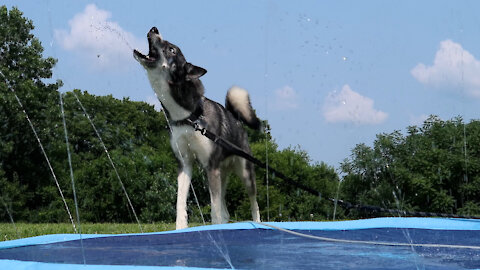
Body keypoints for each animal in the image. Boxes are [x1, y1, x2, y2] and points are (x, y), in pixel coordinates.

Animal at [135, 27, 260, 229]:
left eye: (172, 49)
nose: (154, 29)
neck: (188, 117)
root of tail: (236, 119)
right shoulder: (185, 163)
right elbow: (180, 203)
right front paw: (180, 228)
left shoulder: (211, 166)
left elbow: (214, 209)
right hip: (221, 173)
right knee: (225, 211)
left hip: (245, 172)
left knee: (254, 203)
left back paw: (258, 223)